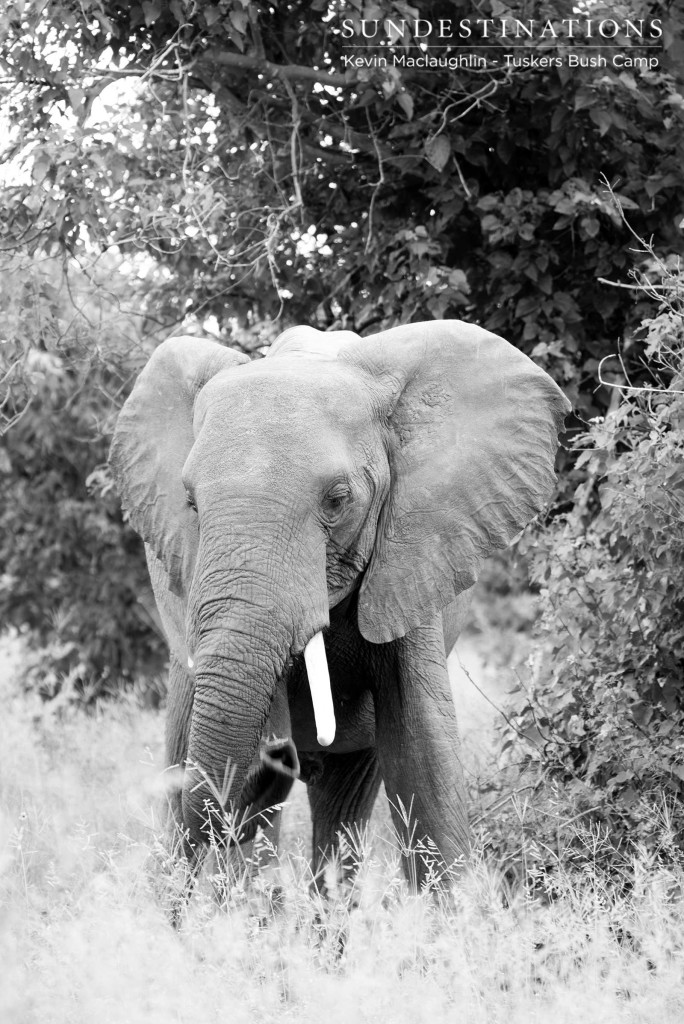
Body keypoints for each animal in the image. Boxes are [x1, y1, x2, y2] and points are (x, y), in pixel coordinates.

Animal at [111, 317, 573, 888]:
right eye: (191, 504)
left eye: (337, 500)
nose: (277, 753)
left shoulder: (411, 555)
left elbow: (423, 760)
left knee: (342, 806)